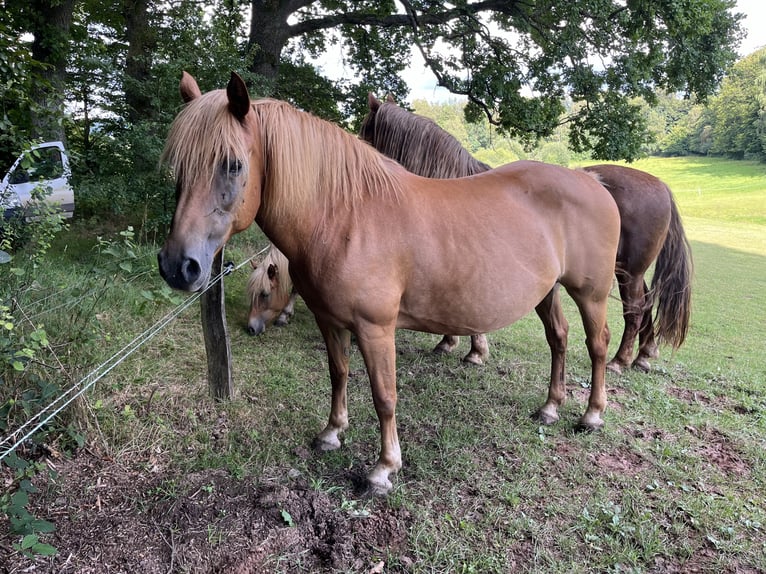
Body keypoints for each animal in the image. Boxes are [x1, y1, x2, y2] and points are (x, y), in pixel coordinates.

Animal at [159, 71, 620, 496]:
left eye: (233, 164)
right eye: (177, 165)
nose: (178, 266)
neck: (345, 217)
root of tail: (592, 181)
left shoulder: (376, 329)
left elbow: (384, 396)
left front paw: (383, 469)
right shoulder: (331, 321)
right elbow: (339, 374)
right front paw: (332, 433)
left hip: (591, 295)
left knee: (596, 345)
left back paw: (591, 415)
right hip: (547, 292)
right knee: (559, 338)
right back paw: (550, 407)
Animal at [362, 93, 696, 378]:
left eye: (365, 131)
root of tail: (660, 186)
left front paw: (473, 350)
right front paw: (453, 341)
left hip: (628, 271)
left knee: (635, 310)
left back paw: (620, 360)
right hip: (625, 271)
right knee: (645, 305)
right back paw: (643, 355)